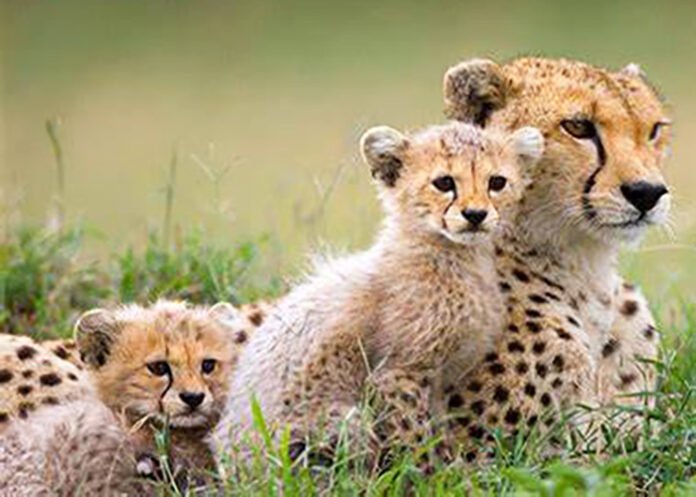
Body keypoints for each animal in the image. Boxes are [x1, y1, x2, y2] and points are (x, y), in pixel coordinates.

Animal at [212, 121, 545, 463]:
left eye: (497, 182)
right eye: (444, 183)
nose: (476, 215)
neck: (455, 257)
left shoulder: (440, 382)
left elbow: (438, 432)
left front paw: (452, 466)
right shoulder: (397, 373)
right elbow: (416, 441)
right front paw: (427, 472)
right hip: (342, 422)